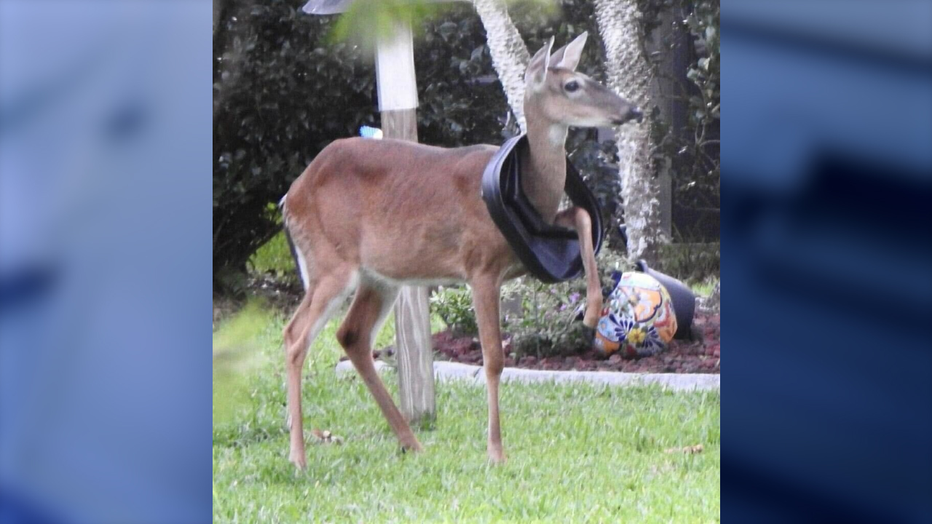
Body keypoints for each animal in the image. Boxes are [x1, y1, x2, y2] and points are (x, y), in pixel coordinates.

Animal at [279, 32, 643, 469]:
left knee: (351, 335)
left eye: (587, 76)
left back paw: (411, 443)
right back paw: (298, 456)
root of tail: (290, 197)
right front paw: (496, 451)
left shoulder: (531, 240)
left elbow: (585, 217)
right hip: (329, 261)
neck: (529, 188)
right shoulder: (480, 265)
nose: (633, 109)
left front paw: (591, 310)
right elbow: (494, 358)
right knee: (295, 335)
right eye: (572, 84)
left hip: (380, 276)